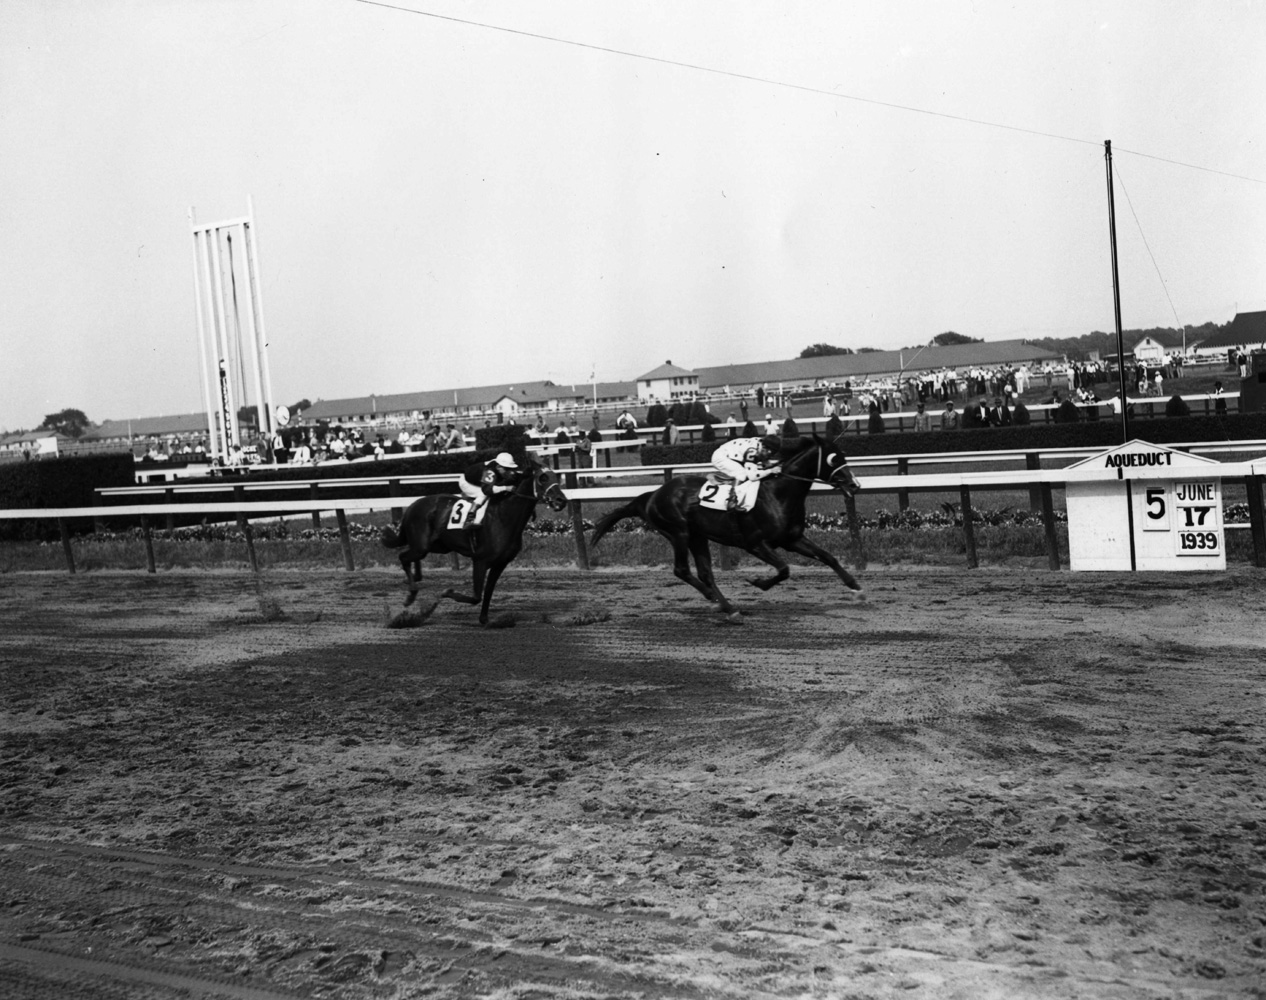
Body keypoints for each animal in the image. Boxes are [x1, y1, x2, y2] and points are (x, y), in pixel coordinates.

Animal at [379, 463, 569, 627]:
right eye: (542, 478)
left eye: (555, 476)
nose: (561, 500)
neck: (504, 517)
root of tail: (412, 505)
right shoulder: (480, 560)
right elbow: (477, 596)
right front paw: (447, 592)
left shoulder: (500, 564)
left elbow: (488, 592)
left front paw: (484, 619)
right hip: (423, 545)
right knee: (403, 557)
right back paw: (411, 594)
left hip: (437, 545)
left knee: (410, 555)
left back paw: (416, 577)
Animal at [589, 435, 865, 615]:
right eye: (833, 459)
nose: (854, 485)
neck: (778, 494)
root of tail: (652, 495)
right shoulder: (755, 543)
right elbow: (784, 569)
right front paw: (759, 583)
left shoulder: (791, 539)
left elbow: (827, 557)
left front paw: (855, 586)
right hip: (678, 532)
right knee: (682, 570)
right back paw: (716, 600)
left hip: (698, 536)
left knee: (705, 573)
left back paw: (728, 607)